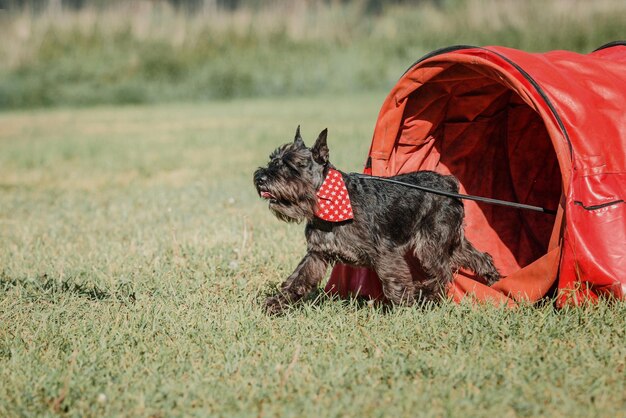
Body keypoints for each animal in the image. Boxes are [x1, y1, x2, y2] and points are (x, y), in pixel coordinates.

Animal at [251, 127, 500, 314]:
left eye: (292, 164)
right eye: (272, 160)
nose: (260, 178)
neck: (327, 204)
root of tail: (449, 184)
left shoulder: (385, 254)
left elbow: (394, 282)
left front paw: (405, 308)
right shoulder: (317, 254)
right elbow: (297, 280)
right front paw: (275, 304)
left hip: (430, 245)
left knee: (443, 272)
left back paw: (426, 295)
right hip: (449, 240)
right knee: (473, 255)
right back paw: (491, 276)